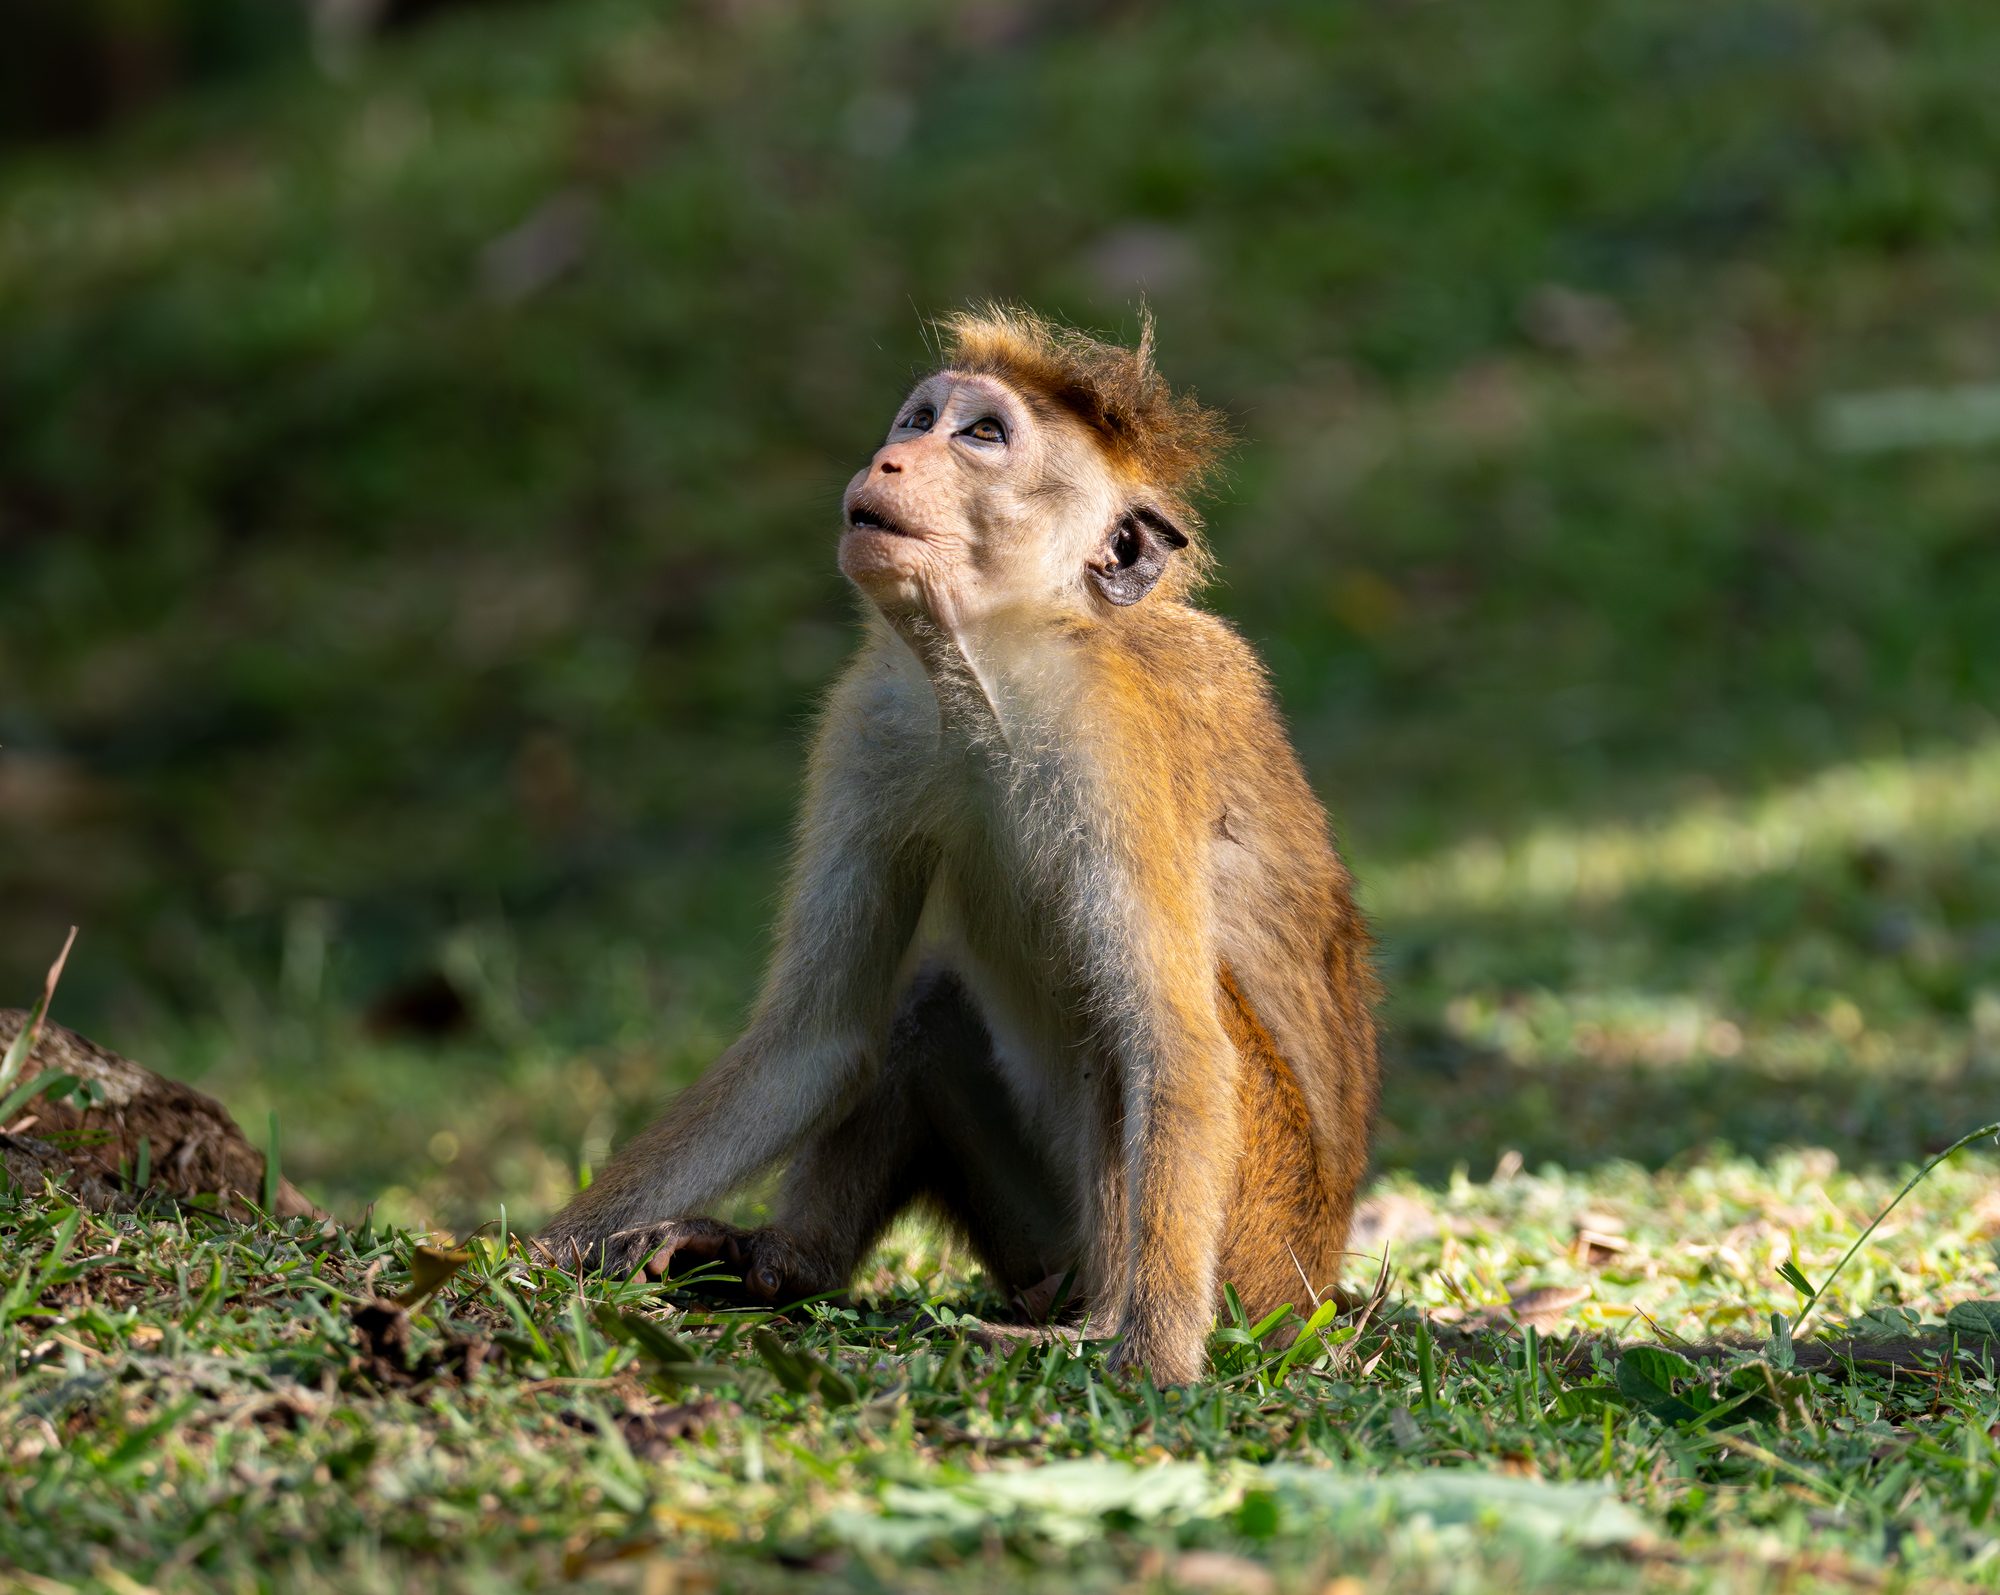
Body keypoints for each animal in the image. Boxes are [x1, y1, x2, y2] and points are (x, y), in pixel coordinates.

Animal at [536, 306, 1381, 1384]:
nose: (889, 458)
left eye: (980, 435)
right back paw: (786, 1261)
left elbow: (1175, 1045)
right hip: (1038, 1228)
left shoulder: (1112, 747)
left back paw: (1094, 1323)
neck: (992, 675)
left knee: (1127, 1043)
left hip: (1258, 1254)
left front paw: (1147, 1360)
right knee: (923, 1006)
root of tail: (1316, 1289)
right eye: (918, 418)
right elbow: (819, 1034)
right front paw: (533, 1252)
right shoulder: (873, 719)